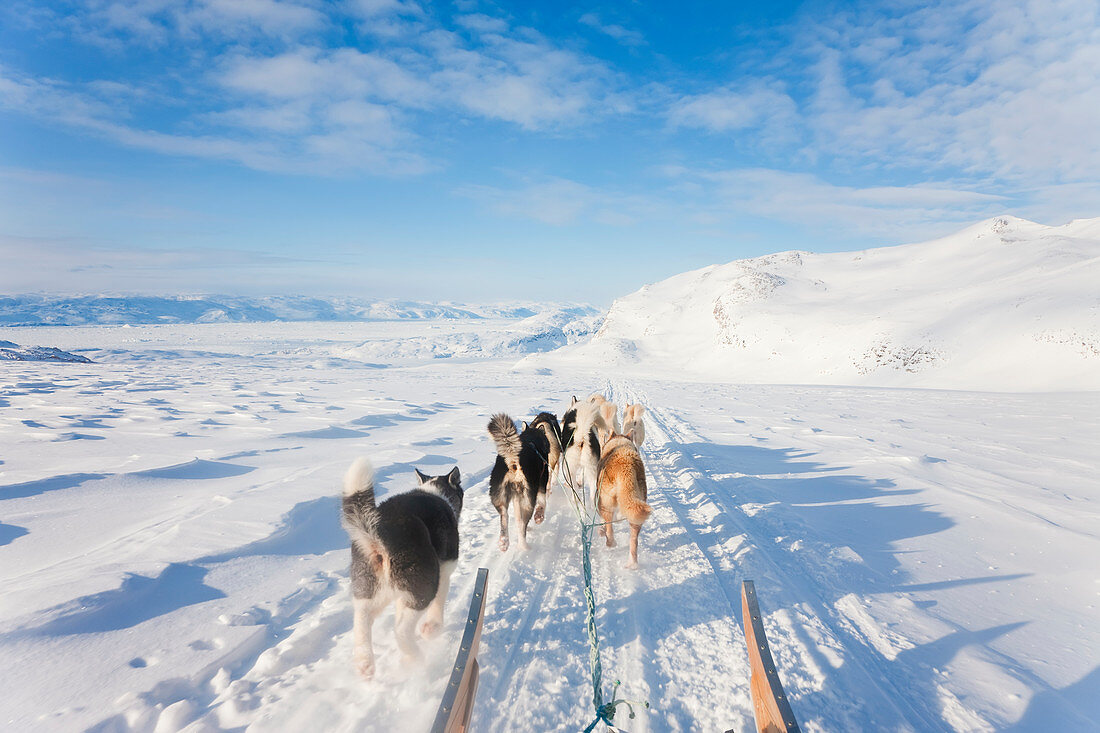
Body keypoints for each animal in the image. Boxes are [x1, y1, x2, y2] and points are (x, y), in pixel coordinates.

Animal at [343, 460, 464, 677]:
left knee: (362, 619)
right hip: (424, 585)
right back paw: (416, 657)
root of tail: (377, 533)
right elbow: (439, 603)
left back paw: (365, 663)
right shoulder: (444, 569)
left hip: (369, 588)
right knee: (400, 630)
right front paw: (432, 628)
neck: (435, 491)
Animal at [488, 411, 550, 548]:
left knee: (504, 515)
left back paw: (504, 541)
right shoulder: (542, 482)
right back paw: (524, 546)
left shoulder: (516, 497)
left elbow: (517, 517)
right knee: (522, 525)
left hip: (499, 495)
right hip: (528, 498)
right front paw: (539, 517)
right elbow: (542, 502)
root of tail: (513, 459)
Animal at [598, 431, 646, 567]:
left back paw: (610, 542)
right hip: (637, 512)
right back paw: (632, 564)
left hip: (605, 505)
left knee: (609, 528)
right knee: (633, 541)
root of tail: (626, 464)